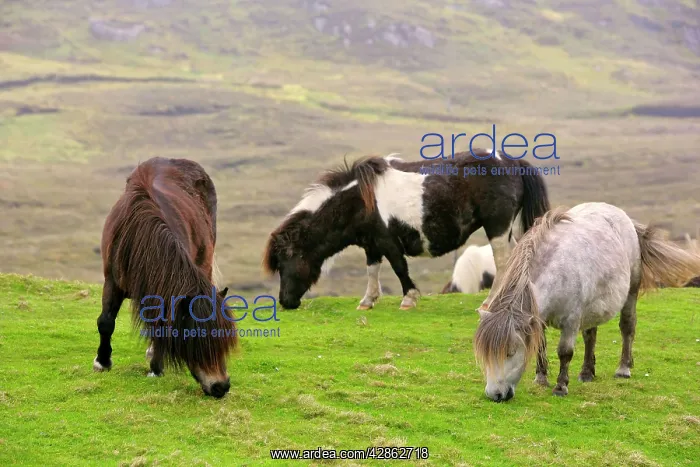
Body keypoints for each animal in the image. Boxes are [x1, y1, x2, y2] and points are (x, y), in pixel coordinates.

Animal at [94, 157, 237, 398]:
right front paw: (102, 362)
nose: (221, 387)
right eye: (195, 338)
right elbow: (106, 322)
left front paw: (155, 367)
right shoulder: (112, 280)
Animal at [262, 150, 550, 310]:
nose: (285, 302)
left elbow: (400, 268)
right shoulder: (371, 244)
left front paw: (408, 299)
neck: (359, 200)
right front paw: (367, 301)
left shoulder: (388, 241)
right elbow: (372, 270)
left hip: (498, 228)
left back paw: (490, 302)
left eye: (286, 261)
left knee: (503, 263)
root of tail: (513, 163)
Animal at [473, 202, 700, 402]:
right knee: (591, 335)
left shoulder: (571, 321)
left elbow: (565, 352)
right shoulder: (539, 319)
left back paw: (623, 368)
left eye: (510, 352)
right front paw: (541, 379)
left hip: (630, 294)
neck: (556, 271)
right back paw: (587, 372)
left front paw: (560, 387)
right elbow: (540, 346)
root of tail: (625, 218)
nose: (495, 395)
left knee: (627, 327)